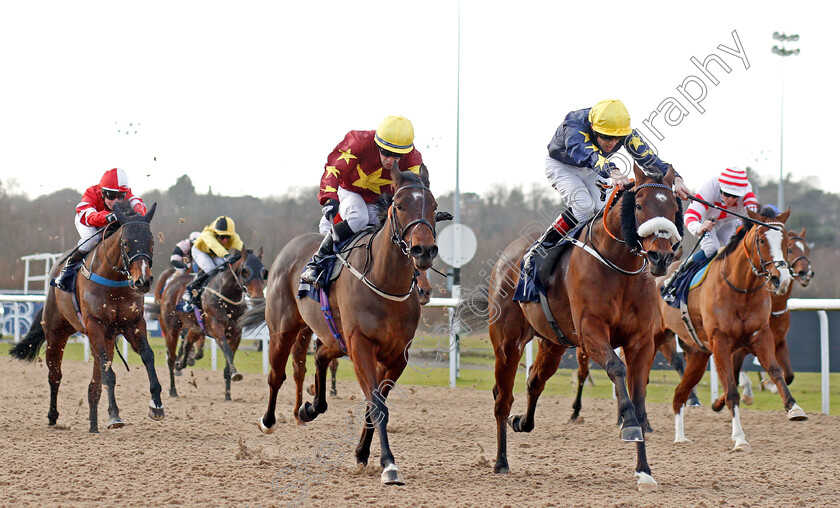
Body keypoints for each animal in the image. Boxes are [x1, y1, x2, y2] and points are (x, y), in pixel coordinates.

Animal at [9, 201, 162, 432]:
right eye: (126, 243)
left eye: (151, 242)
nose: (143, 281)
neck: (113, 280)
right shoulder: (95, 324)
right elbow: (109, 373)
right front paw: (115, 416)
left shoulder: (133, 323)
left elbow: (148, 356)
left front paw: (156, 404)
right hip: (56, 333)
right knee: (55, 375)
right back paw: (53, 416)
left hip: (106, 338)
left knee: (95, 382)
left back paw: (94, 423)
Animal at [156, 248, 264, 398]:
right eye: (245, 271)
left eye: (263, 271)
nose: (258, 299)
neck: (226, 295)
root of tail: (172, 283)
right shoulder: (217, 328)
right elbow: (227, 351)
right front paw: (235, 373)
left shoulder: (236, 333)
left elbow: (228, 359)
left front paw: (228, 395)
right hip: (171, 328)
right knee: (171, 358)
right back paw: (173, 390)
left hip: (195, 328)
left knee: (187, 343)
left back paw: (181, 364)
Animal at [241, 166, 440, 484]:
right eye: (399, 205)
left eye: (433, 206)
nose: (424, 250)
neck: (386, 281)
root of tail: (291, 246)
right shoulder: (361, 346)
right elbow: (377, 404)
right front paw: (389, 464)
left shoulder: (397, 356)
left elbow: (374, 404)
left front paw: (363, 453)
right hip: (284, 329)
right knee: (276, 375)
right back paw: (269, 421)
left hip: (334, 336)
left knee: (320, 355)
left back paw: (310, 408)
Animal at [488, 165, 680, 490]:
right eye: (640, 206)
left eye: (675, 208)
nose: (661, 256)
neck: (619, 266)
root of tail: (507, 257)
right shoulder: (591, 332)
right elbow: (616, 368)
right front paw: (628, 424)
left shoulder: (641, 341)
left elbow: (639, 396)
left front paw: (644, 470)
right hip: (507, 344)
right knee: (503, 397)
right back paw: (501, 460)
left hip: (553, 343)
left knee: (534, 382)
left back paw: (522, 422)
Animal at [656, 206, 808, 452]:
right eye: (762, 240)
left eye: (786, 243)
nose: (780, 279)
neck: (740, 289)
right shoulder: (721, 343)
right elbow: (731, 389)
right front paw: (739, 438)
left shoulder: (761, 336)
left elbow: (777, 372)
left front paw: (794, 408)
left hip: (697, 355)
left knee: (679, 393)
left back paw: (680, 437)